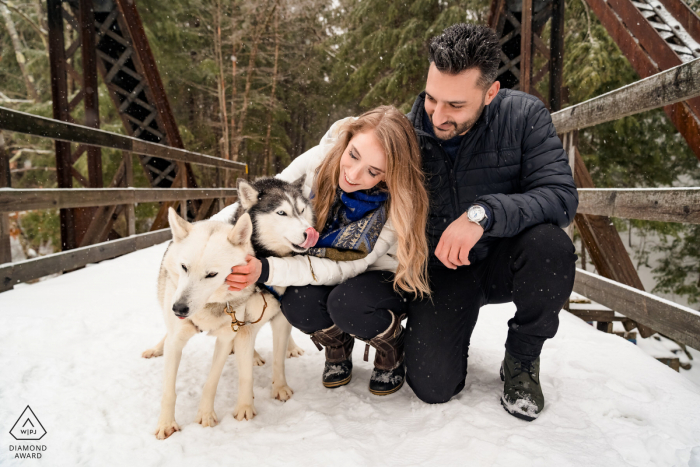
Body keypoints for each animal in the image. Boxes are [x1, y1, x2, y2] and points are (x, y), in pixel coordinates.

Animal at [146, 177, 316, 440]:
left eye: (302, 210)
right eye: (282, 212)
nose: (310, 232)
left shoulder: (243, 330)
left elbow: (273, 362)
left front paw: (279, 388)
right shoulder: (190, 334)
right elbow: (169, 389)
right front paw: (166, 424)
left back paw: (289, 348)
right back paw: (156, 348)